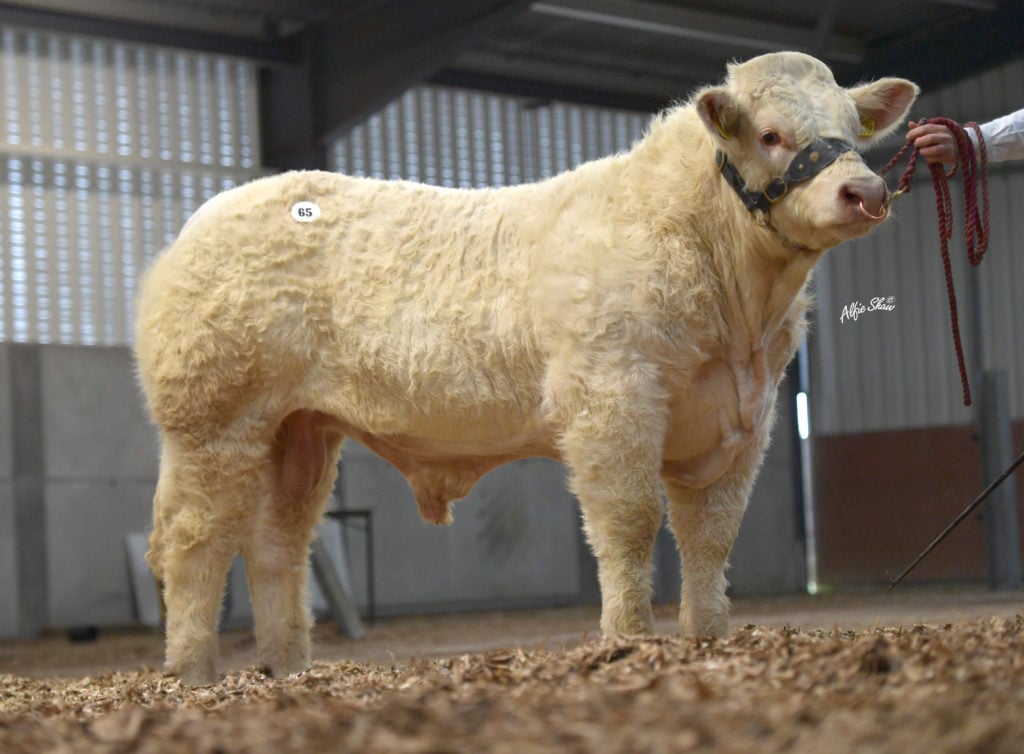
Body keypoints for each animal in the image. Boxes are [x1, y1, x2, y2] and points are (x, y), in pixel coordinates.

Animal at [135, 51, 917, 685]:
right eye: (771, 134)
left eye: (855, 130)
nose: (865, 192)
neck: (739, 315)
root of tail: (201, 222)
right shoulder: (611, 399)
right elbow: (630, 524)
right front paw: (629, 640)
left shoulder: (744, 421)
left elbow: (711, 538)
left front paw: (709, 638)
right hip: (214, 422)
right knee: (194, 541)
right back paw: (194, 672)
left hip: (299, 431)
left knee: (278, 545)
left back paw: (288, 668)